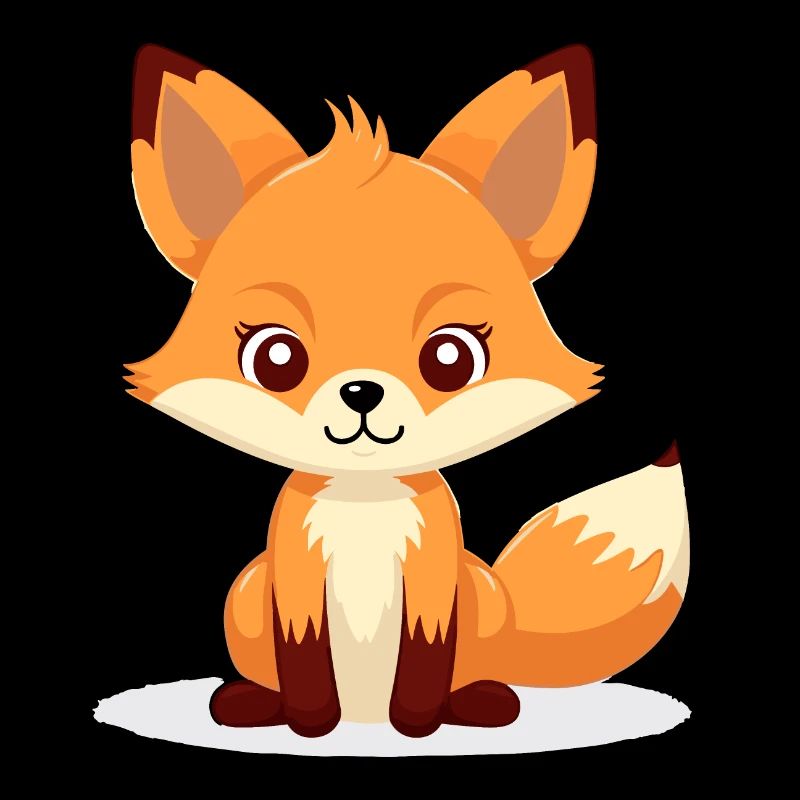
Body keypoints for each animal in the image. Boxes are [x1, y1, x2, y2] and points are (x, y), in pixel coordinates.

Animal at [126, 43, 689, 739]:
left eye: (452, 357)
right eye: (275, 357)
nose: (361, 392)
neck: (365, 504)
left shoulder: (436, 574)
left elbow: (425, 656)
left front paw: (418, 726)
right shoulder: (292, 573)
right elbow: (303, 657)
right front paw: (312, 725)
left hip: (479, 596)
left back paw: (481, 702)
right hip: (246, 593)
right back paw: (252, 704)